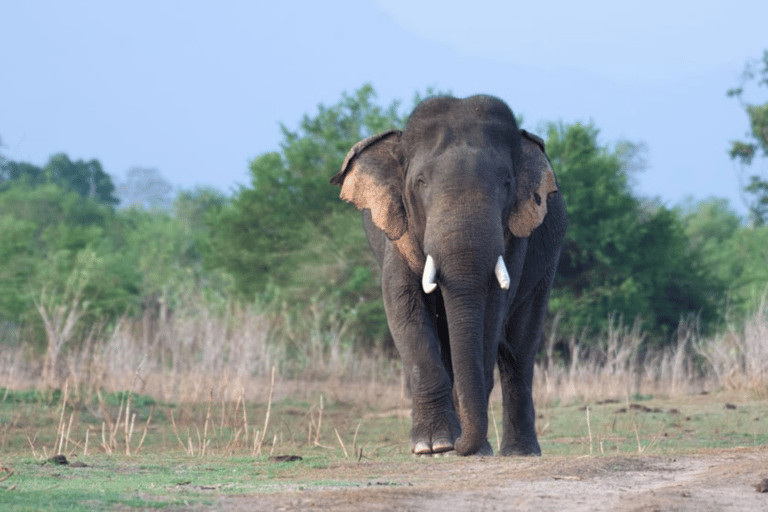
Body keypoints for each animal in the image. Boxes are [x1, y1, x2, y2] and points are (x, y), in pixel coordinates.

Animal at [328, 93, 568, 456]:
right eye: (420, 182)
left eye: (507, 183)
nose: (458, 445)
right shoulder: (396, 231)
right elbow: (404, 306)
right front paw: (433, 446)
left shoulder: (515, 236)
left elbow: (492, 312)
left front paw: (465, 447)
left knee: (519, 350)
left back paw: (519, 451)